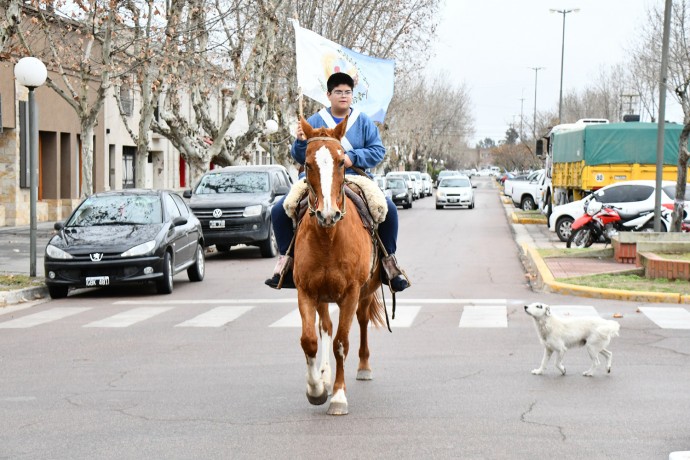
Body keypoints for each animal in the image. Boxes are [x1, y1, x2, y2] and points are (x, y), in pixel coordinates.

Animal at [292, 116, 384, 416]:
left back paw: (364, 367)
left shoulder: (351, 293)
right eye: (307, 163)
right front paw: (316, 389)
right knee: (325, 327)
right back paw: (323, 374)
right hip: (323, 295)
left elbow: (341, 343)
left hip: (365, 292)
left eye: (342, 162)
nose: (328, 213)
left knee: (362, 321)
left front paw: (338, 396)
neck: (328, 238)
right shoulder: (306, 291)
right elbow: (310, 340)